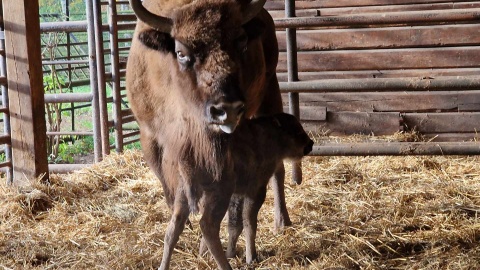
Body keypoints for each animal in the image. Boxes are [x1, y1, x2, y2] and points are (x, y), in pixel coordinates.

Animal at [126, 0, 292, 266]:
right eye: (181, 53)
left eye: (241, 43)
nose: (227, 109)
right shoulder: (150, 138)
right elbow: (171, 193)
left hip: (270, 93)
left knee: (278, 166)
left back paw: (281, 220)